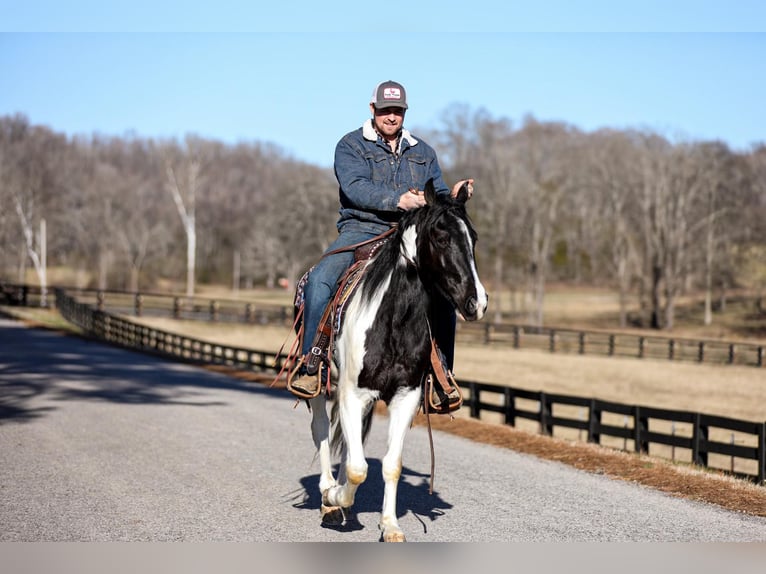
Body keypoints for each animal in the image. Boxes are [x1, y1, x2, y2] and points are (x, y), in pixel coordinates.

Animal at [304, 181, 486, 544]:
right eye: (441, 237)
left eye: (473, 238)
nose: (477, 302)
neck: (394, 319)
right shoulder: (352, 393)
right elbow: (358, 468)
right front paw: (335, 498)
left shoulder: (405, 396)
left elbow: (390, 464)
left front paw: (389, 525)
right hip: (322, 389)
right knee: (322, 432)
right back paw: (329, 496)